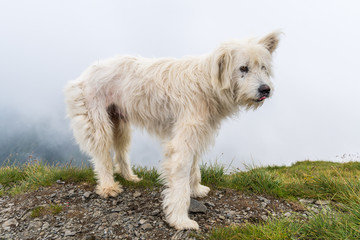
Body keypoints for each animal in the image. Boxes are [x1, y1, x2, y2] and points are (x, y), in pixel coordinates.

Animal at [65, 31, 282, 230]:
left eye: (263, 67)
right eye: (243, 68)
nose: (265, 89)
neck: (207, 83)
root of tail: (85, 73)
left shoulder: (196, 134)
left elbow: (194, 168)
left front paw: (196, 189)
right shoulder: (182, 143)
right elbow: (180, 183)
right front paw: (180, 220)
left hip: (120, 123)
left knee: (121, 151)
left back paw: (129, 176)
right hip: (97, 123)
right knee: (101, 155)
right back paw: (108, 186)